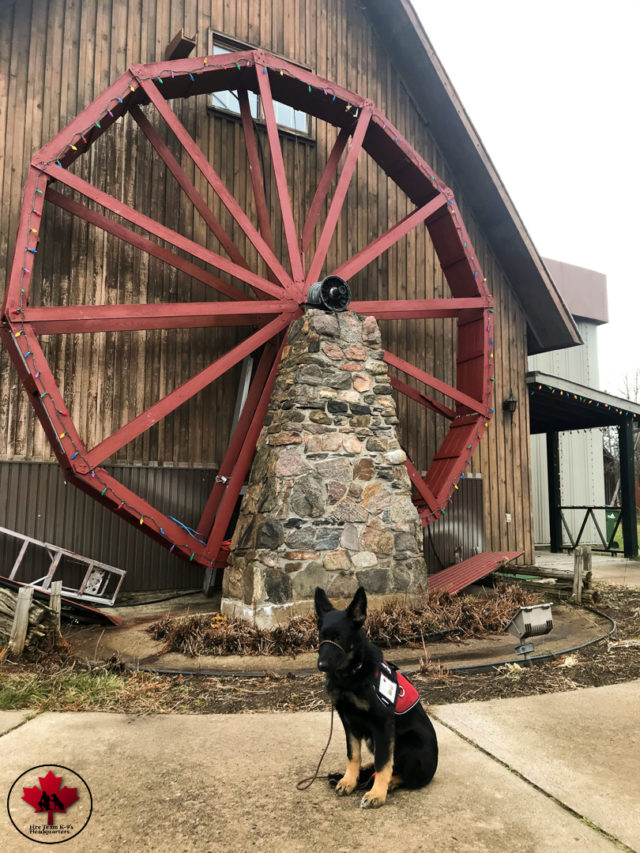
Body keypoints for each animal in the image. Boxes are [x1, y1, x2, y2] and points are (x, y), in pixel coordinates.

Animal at [316, 584, 440, 808]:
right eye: (322, 637)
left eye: (339, 637)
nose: (321, 666)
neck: (352, 674)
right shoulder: (349, 722)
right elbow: (353, 754)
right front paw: (349, 780)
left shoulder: (382, 725)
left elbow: (384, 763)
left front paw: (377, 793)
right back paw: (366, 768)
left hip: (407, 744)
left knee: (406, 774)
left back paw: (390, 782)